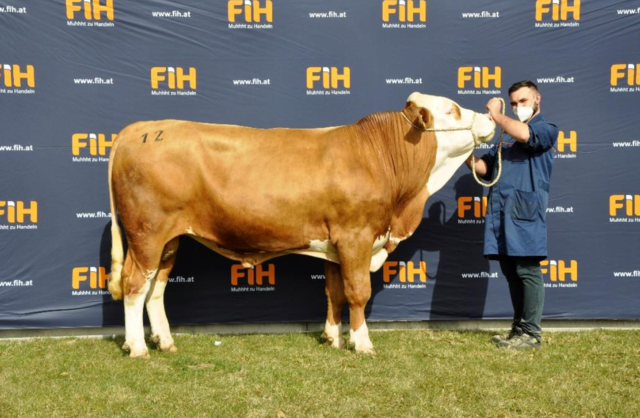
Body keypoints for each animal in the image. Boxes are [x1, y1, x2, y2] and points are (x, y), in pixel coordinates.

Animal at [106, 91, 496, 356]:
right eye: (453, 109)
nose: (491, 117)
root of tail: (138, 129)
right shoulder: (355, 236)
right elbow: (358, 291)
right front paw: (362, 342)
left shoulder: (336, 243)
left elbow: (334, 291)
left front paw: (332, 337)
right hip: (146, 233)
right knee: (134, 284)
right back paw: (137, 347)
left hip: (170, 240)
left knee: (156, 288)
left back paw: (165, 341)